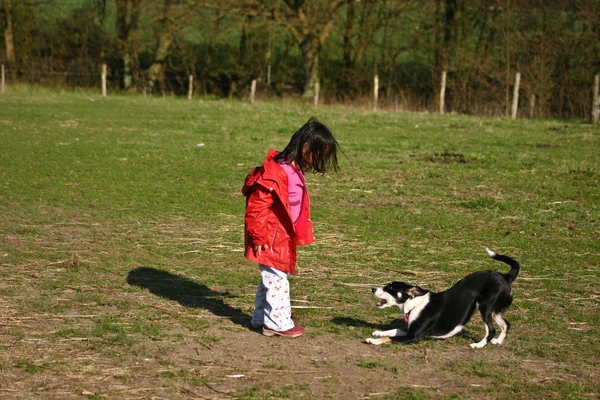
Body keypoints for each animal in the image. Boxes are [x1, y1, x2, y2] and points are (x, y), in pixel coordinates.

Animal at [366, 248, 520, 348]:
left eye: (390, 288)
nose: (373, 289)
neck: (414, 304)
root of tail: (505, 276)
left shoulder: (413, 336)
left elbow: (390, 337)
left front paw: (373, 340)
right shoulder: (408, 330)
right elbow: (393, 330)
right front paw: (378, 332)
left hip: (484, 307)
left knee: (491, 330)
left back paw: (479, 345)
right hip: (494, 311)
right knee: (506, 324)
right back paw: (498, 341)